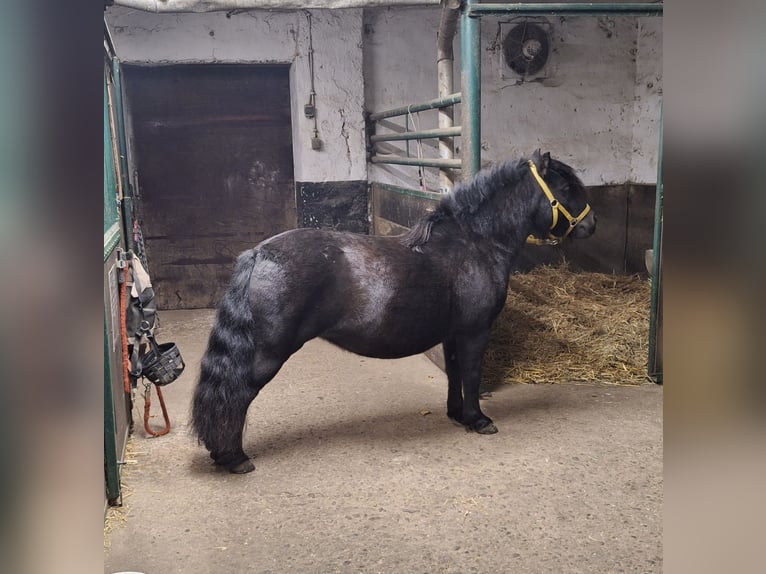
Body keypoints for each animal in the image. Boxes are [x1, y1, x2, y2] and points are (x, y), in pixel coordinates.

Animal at [191, 151, 596, 473]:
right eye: (565, 188)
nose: (591, 225)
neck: (474, 244)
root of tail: (260, 253)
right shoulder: (475, 332)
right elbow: (472, 375)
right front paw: (479, 420)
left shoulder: (452, 335)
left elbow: (454, 374)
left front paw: (457, 415)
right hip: (268, 354)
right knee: (237, 393)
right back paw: (233, 457)